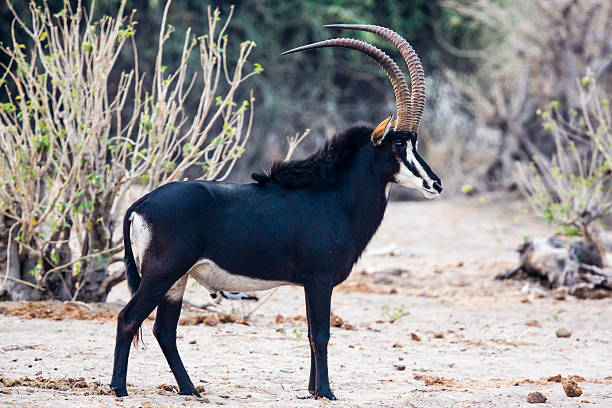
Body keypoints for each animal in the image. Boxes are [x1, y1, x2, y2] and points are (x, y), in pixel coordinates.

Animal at [110, 23, 442, 400]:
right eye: (399, 144)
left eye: (414, 142)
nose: (435, 184)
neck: (334, 198)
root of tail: (139, 205)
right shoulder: (319, 279)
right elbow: (321, 334)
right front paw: (326, 392)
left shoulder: (311, 283)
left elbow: (312, 333)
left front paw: (312, 391)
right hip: (162, 273)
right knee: (128, 318)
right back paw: (120, 388)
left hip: (177, 279)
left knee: (164, 330)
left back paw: (189, 389)